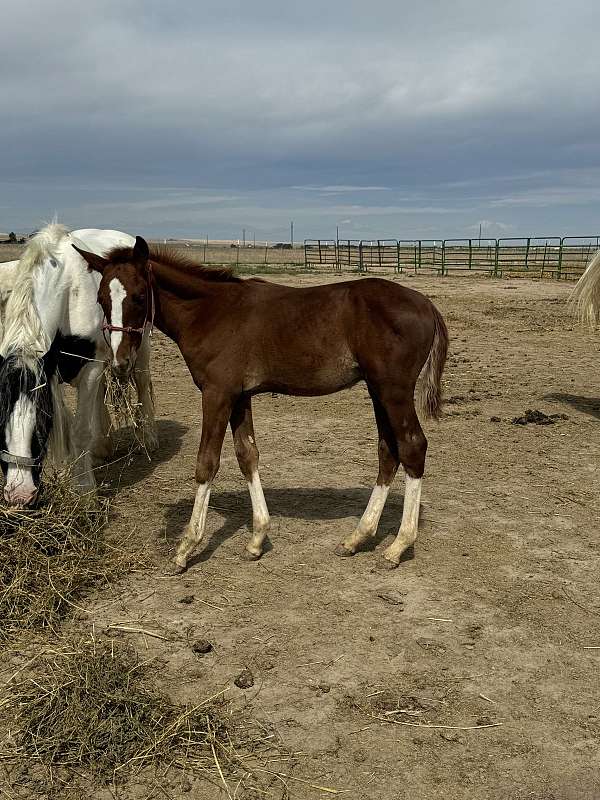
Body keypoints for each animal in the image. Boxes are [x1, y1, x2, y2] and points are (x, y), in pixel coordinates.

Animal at [0, 222, 157, 504]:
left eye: (41, 421)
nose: (19, 495)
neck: (66, 290)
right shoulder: (51, 370)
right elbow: (68, 425)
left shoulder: (90, 366)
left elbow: (80, 430)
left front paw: (84, 489)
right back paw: (103, 444)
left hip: (140, 344)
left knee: (140, 378)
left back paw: (147, 436)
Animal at [75, 234, 448, 572]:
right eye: (101, 298)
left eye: (140, 297)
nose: (120, 363)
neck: (212, 313)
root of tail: (427, 304)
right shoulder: (240, 396)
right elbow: (247, 456)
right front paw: (256, 540)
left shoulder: (217, 393)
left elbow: (206, 462)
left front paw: (186, 547)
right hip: (377, 390)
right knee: (388, 451)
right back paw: (357, 537)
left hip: (394, 390)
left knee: (412, 446)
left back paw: (398, 546)